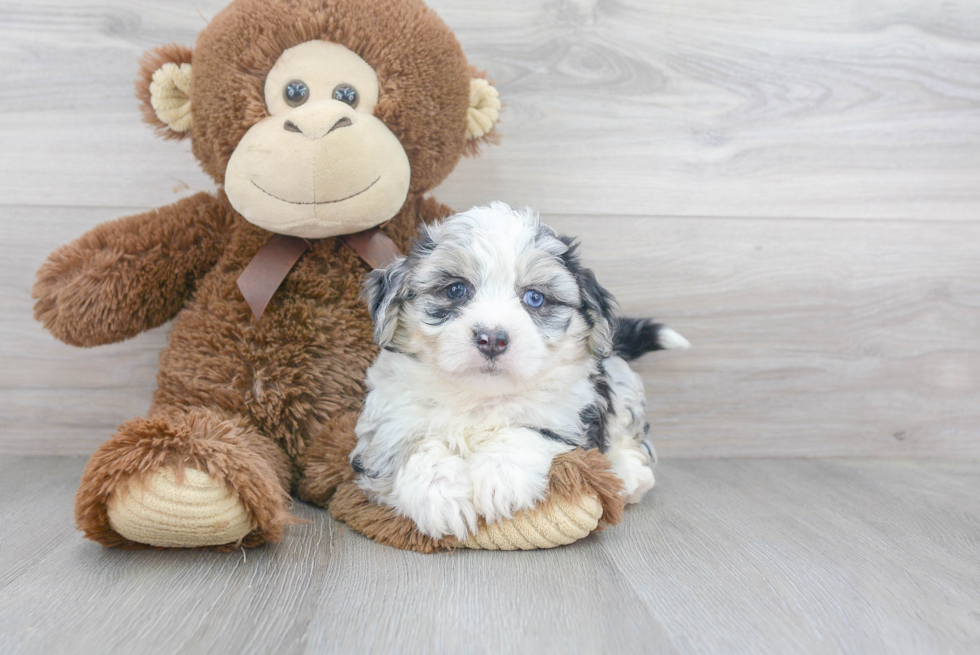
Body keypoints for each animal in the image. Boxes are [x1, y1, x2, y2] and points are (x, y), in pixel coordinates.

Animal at [352, 202, 688, 540]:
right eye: (456, 290)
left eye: (535, 297)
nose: (492, 339)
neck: (480, 396)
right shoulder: (388, 423)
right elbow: (415, 447)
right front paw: (440, 497)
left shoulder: (567, 415)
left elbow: (525, 431)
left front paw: (500, 478)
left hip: (620, 381)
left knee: (629, 437)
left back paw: (627, 475)